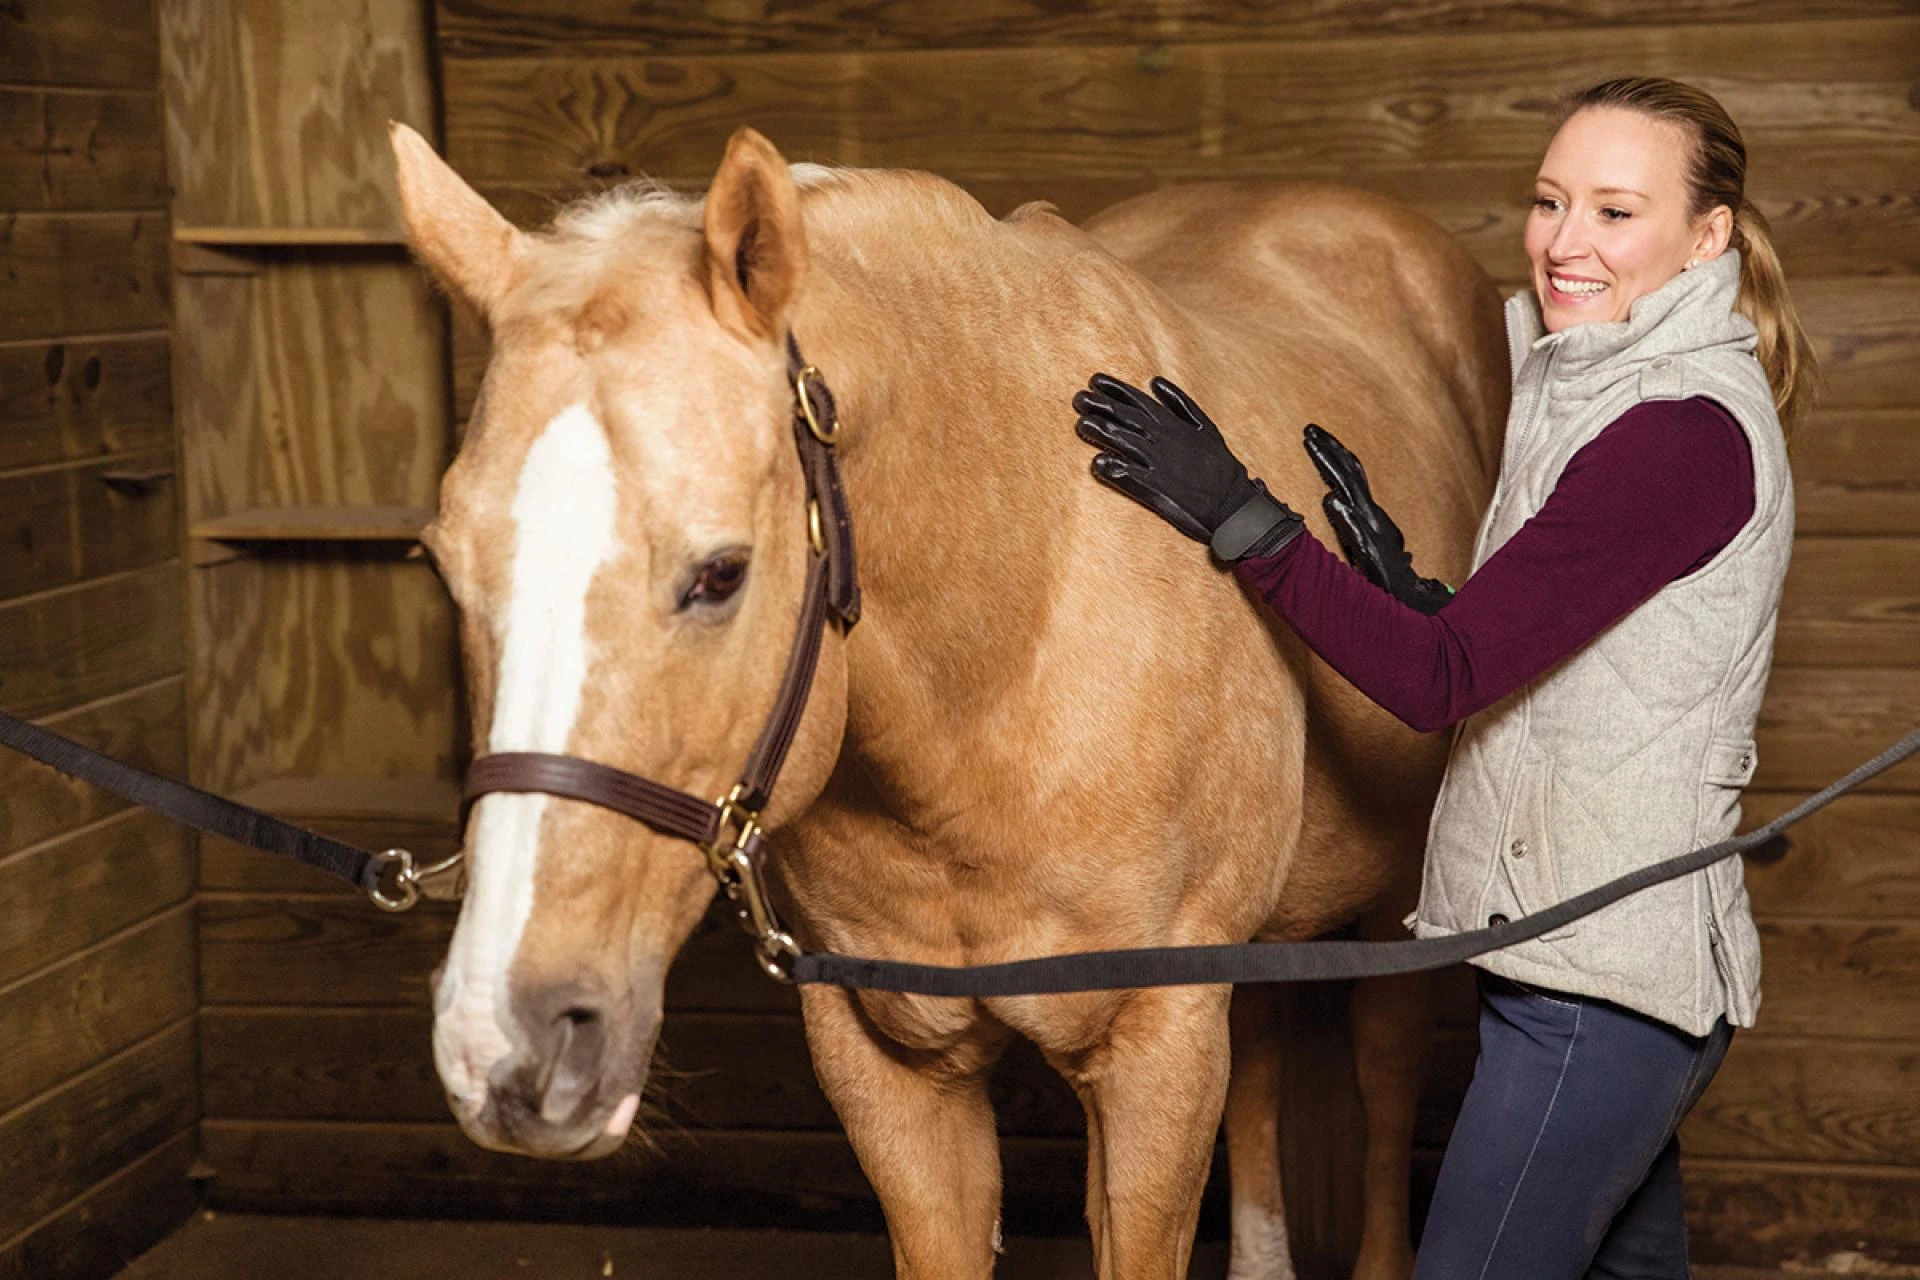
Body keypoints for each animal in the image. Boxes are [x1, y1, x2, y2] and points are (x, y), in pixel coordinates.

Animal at [389, 121, 1508, 1280]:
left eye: (720, 574)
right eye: (442, 566)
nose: (506, 1045)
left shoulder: (1157, 1048)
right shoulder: (887, 1064)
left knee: (1383, 1076)